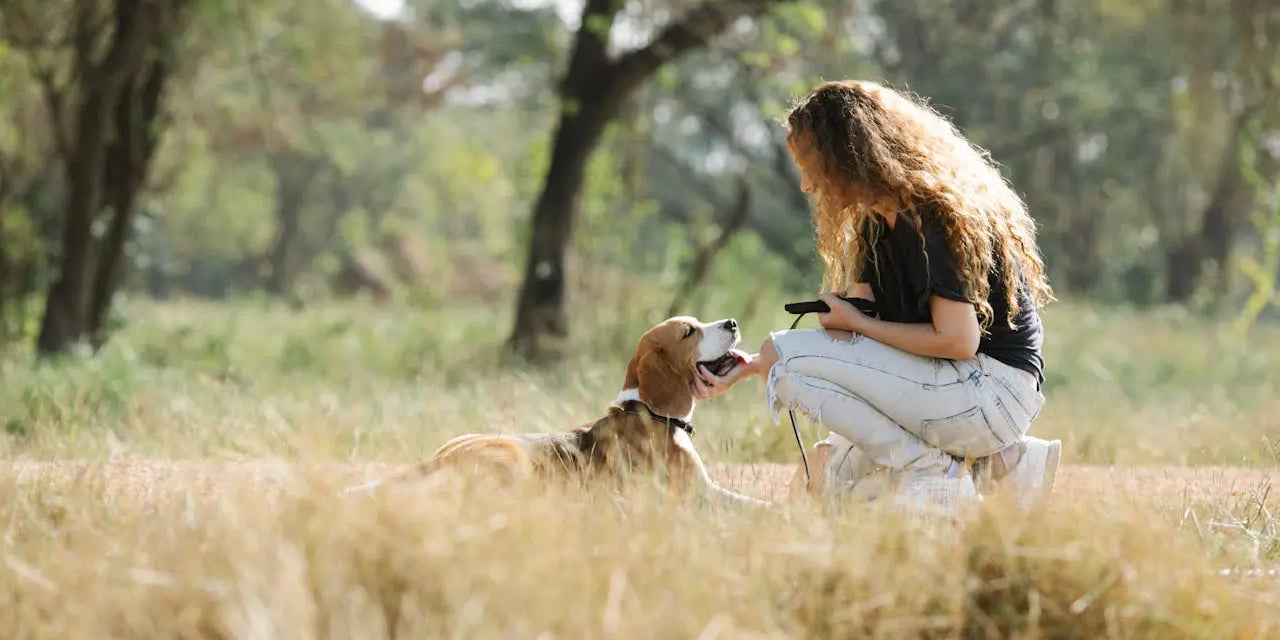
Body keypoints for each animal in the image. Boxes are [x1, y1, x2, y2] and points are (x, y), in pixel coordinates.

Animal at [343, 317, 768, 506]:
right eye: (689, 332)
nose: (731, 322)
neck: (646, 409)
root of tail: (439, 459)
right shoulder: (698, 494)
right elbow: (749, 504)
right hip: (514, 463)